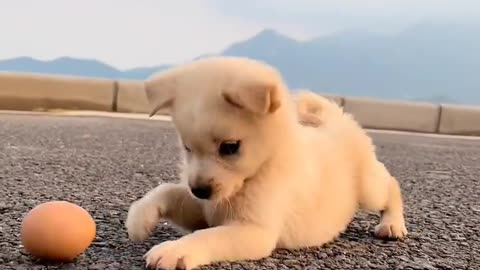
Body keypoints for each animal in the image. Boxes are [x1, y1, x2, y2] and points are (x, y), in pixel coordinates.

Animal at [125, 56, 406, 268]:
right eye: (187, 148)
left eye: (230, 147)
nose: (199, 190)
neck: (260, 170)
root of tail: (338, 118)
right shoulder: (204, 209)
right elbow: (168, 191)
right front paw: (140, 218)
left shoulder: (254, 231)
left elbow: (207, 236)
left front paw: (174, 251)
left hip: (369, 188)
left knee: (391, 186)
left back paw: (392, 224)